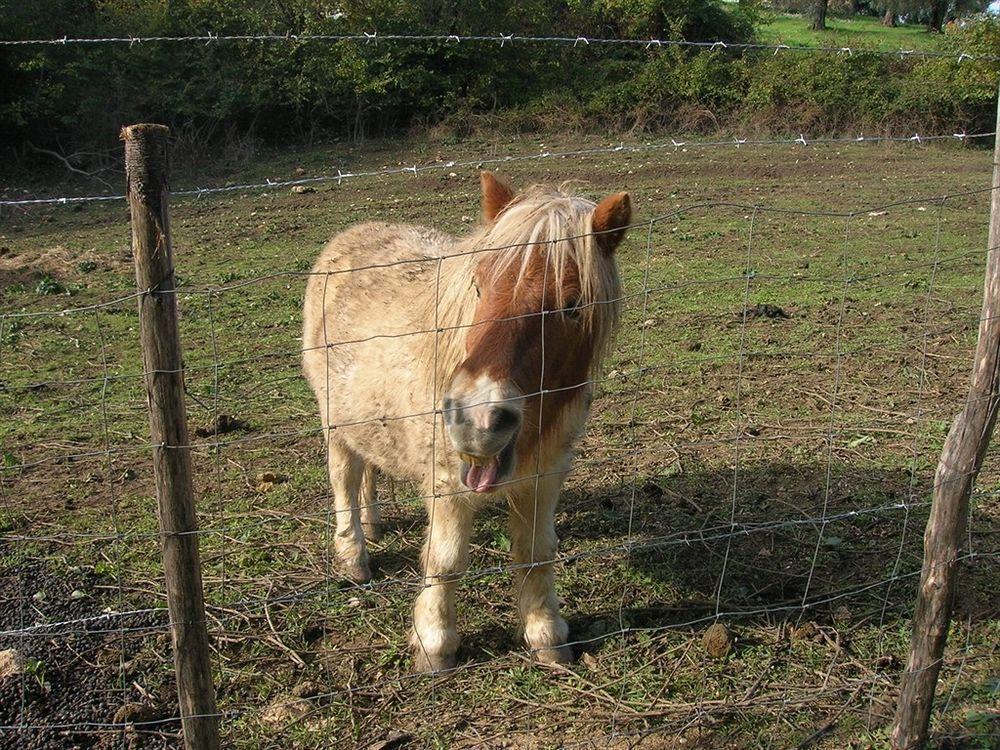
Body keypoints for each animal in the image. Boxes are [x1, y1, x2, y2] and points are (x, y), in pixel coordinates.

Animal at [300, 172, 632, 676]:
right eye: (478, 285)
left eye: (572, 305)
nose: (476, 420)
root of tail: (351, 234)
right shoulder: (446, 483)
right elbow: (445, 561)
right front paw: (434, 644)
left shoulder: (545, 475)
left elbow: (536, 554)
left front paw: (547, 636)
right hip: (334, 423)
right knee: (345, 481)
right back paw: (354, 556)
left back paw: (373, 524)